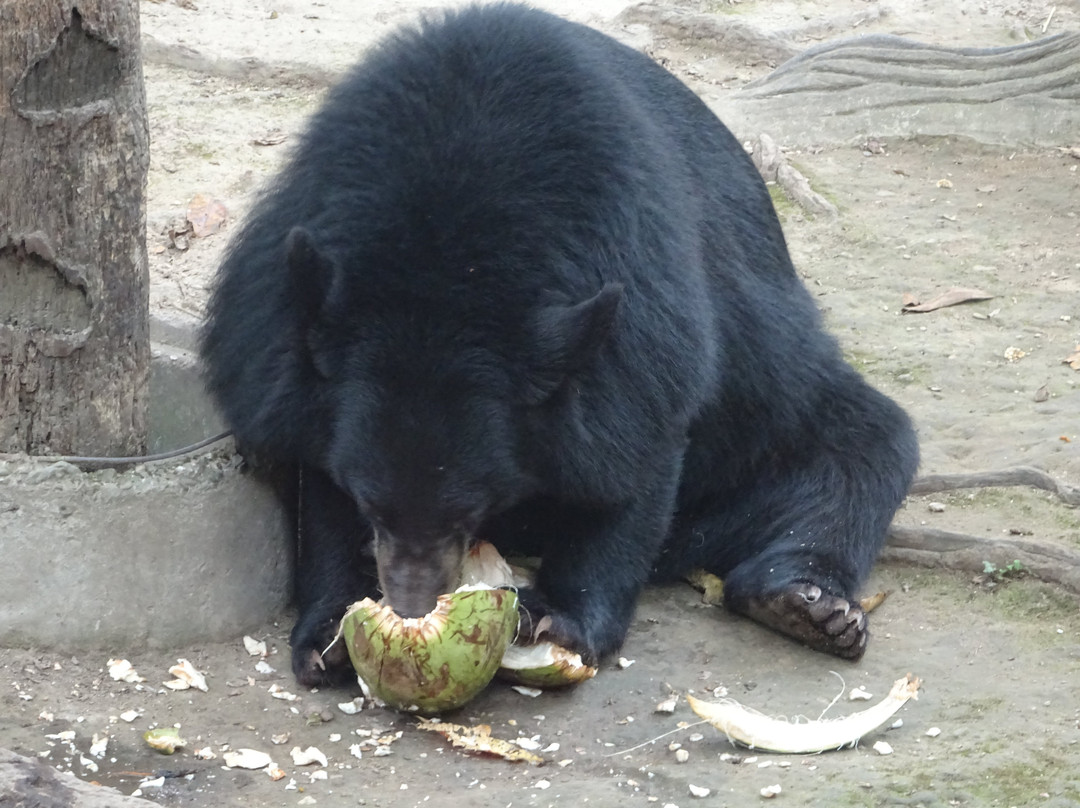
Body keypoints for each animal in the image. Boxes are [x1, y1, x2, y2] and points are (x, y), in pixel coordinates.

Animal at [196, 4, 920, 687]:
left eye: (469, 510)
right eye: (371, 504)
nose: (411, 604)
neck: (450, 264)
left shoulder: (637, 318)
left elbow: (633, 457)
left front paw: (560, 622)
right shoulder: (285, 341)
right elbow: (315, 467)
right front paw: (329, 637)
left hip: (767, 370)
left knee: (853, 445)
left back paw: (807, 605)